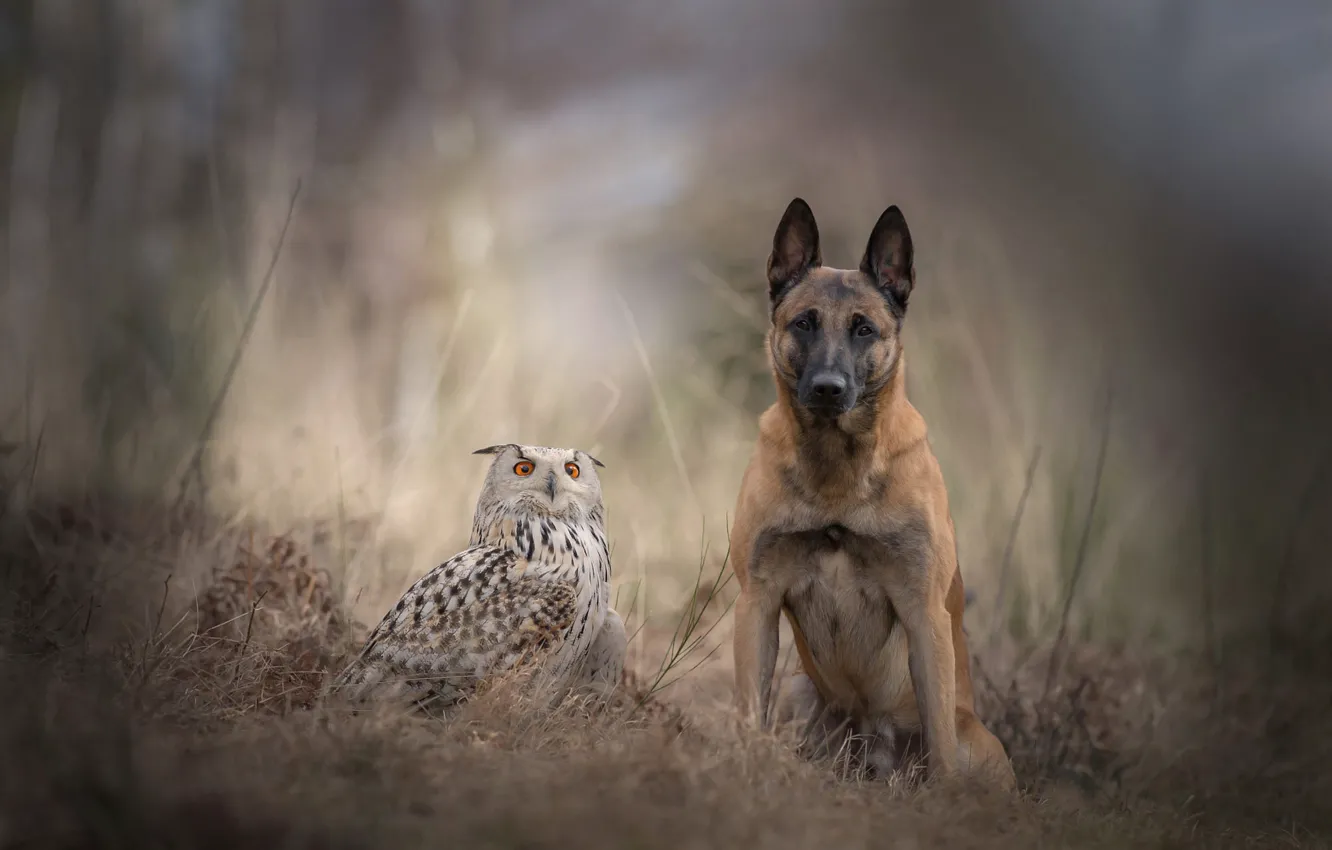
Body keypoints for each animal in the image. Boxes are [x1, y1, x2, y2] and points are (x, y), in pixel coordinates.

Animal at [724, 197, 1012, 788]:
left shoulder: (924, 614)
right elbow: (748, 707)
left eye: (864, 329)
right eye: (804, 323)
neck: (838, 471)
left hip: (978, 743)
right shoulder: (757, 602)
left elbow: (940, 742)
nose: (828, 389)